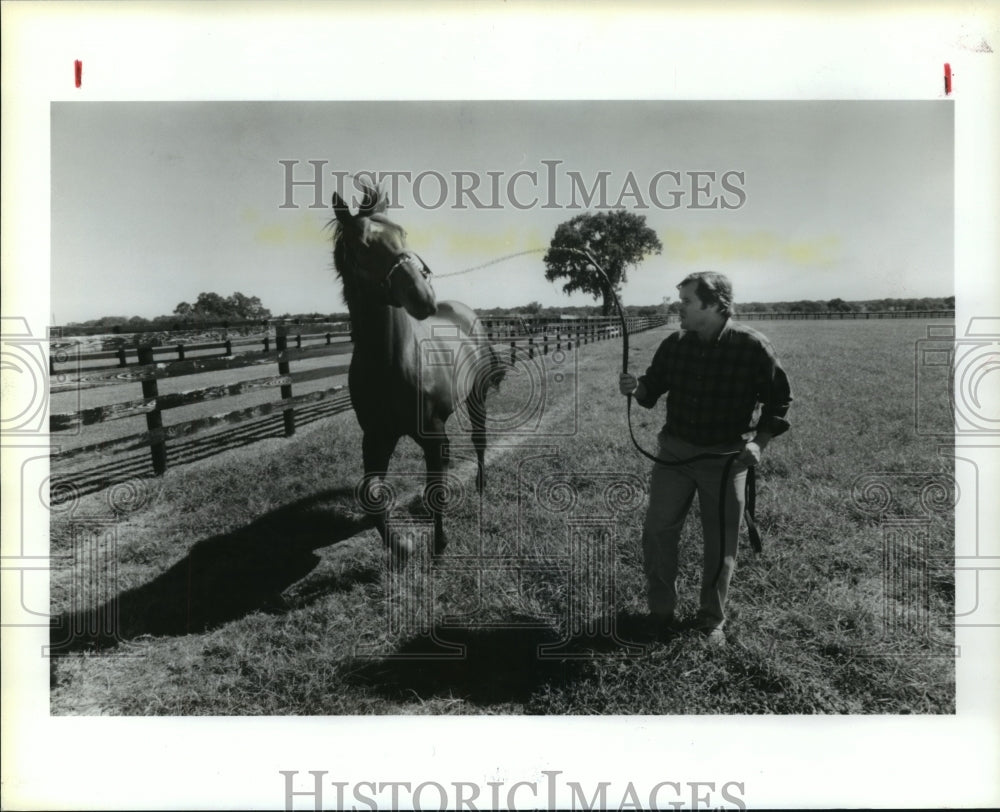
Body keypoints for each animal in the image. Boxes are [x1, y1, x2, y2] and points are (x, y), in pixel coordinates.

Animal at [330, 182, 504, 564]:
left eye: (402, 234)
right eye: (362, 245)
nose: (423, 297)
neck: (392, 362)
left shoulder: (432, 434)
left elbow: (436, 488)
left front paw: (438, 547)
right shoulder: (376, 437)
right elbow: (370, 495)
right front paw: (402, 547)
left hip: (476, 398)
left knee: (479, 442)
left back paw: (482, 486)